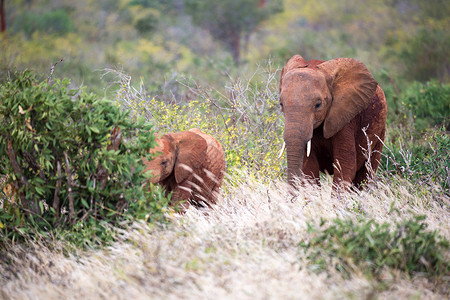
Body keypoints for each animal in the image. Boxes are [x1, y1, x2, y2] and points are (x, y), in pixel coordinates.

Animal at [278, 55, 386, 189]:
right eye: (281, 104)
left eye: (318, 105)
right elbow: (309, 167)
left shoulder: (346, 117)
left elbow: (345, 166)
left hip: (380, 133)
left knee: (366, 173)